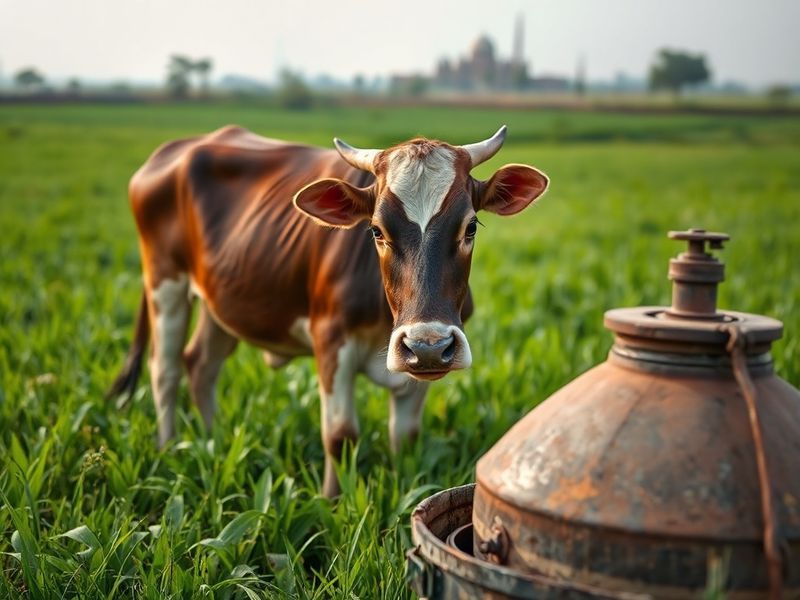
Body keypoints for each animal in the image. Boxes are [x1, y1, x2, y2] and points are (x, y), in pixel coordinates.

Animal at [108, 124, 548, 497]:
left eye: (470, 227)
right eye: (376, 230)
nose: (427, 346)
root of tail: (176, 148)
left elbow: (405, 435)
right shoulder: (332, 341)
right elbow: (340, 435)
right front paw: (334, 504)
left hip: (221, 299)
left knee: (201, 363)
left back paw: (210, 441)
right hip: (165, 283)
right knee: (164, 371)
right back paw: (168, 449)